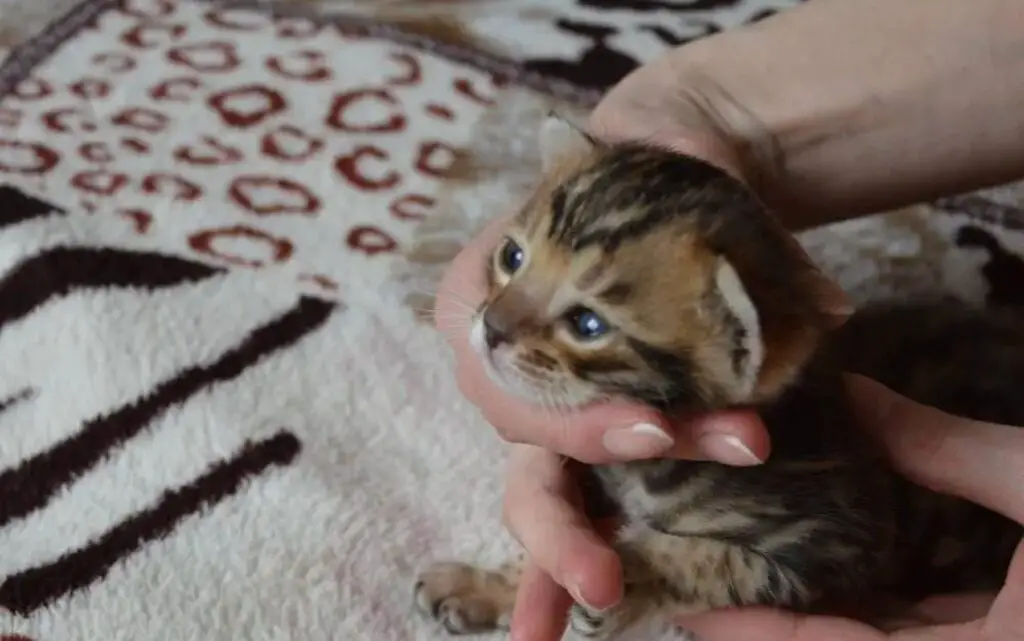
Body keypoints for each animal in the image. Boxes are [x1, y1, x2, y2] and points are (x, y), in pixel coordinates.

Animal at [411, 113, 1024, 634]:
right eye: (512, 258)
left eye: (587, 324)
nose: (490, 327)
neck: (650, 470)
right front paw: (485, 585)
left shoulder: (836, 541)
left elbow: (706, 558)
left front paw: (623, 580)